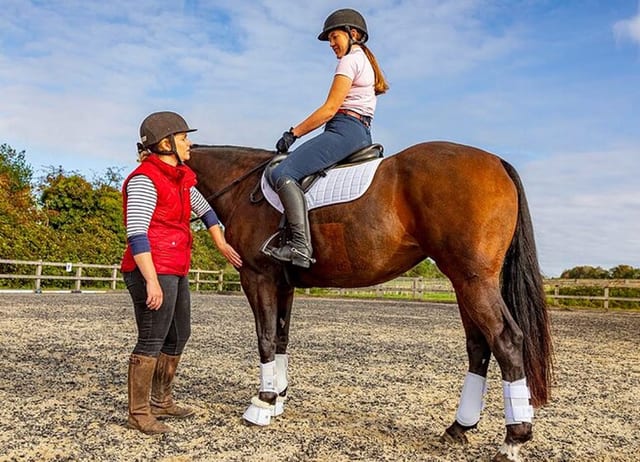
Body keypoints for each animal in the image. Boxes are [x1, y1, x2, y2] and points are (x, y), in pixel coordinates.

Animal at [187, 141, 553, 462]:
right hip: (465, 283)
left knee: (506, 340)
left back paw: (513, 440)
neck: (242, 185)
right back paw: (459, 428)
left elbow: (264, 337)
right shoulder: (283, 283)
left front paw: (262, 404)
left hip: (474, 281)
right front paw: (278, 399)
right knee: (479, 346)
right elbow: (280, 338)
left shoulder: (257, 276)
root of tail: (497, 162)